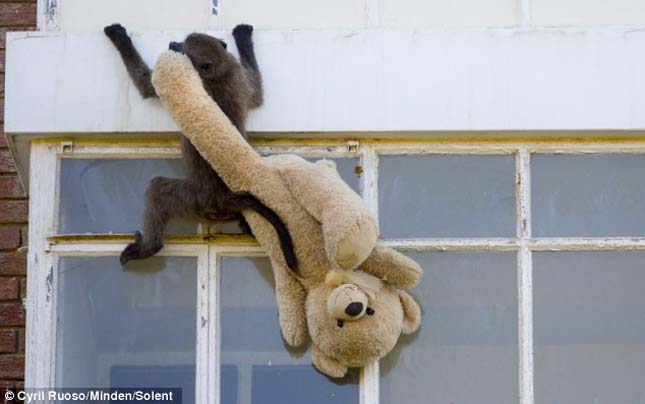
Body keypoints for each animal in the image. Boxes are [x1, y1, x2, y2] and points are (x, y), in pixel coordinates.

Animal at [103, 23, 297, 271]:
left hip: (196, 201)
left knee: (158, 189)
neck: (217, 73)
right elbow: (256, 93)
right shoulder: (238, 77)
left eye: (183, 48)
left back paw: (149, 247)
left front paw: (119, 37)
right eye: (181, 41)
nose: (172, 44)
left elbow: (147, 85)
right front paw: (243, 36)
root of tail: (226, 197)